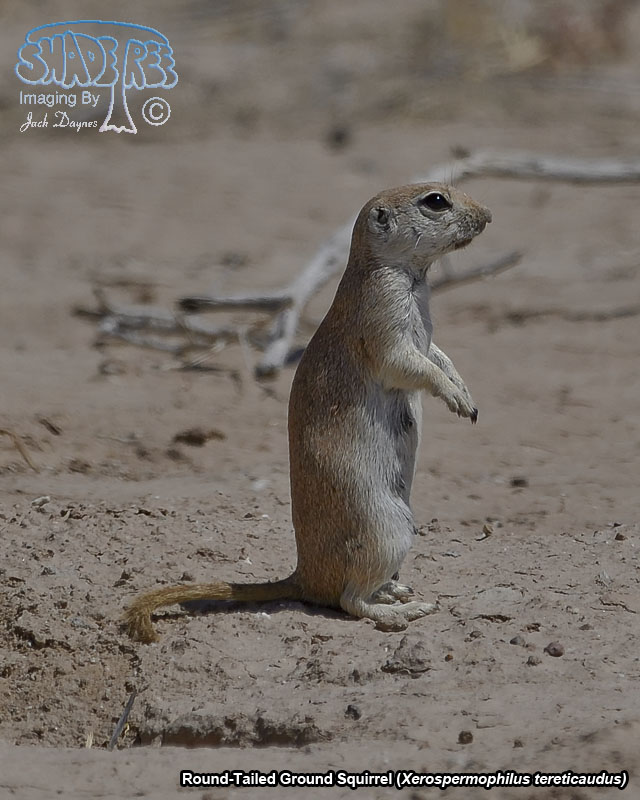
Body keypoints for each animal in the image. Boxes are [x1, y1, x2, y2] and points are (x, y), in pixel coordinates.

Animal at [124, 182, 491, 642]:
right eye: (436, 201)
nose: (489, 216)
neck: (408, 275)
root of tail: (305, 578)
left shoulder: (423, 334)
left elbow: (439, 356)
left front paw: (467, 394)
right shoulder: (382, 315)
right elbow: (409, 364)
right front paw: (455, 398)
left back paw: (395, 591)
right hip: (388, 529)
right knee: (349, 601)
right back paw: (401, 611)